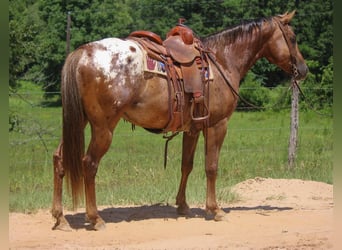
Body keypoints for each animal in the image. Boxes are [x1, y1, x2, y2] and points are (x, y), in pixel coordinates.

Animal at [51, 11, 310, 230]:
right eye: (293, 38)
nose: (304, 69)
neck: (222, 60)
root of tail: (82, 53)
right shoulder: (217, 125)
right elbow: (211, 166)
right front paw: (215, 210)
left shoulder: (192, 129)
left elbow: (187, 165)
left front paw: (183, 206)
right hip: (104, 128)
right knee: (89, 164)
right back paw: (95, 218)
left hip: (78, 123)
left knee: (60, 159)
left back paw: (60, 217)